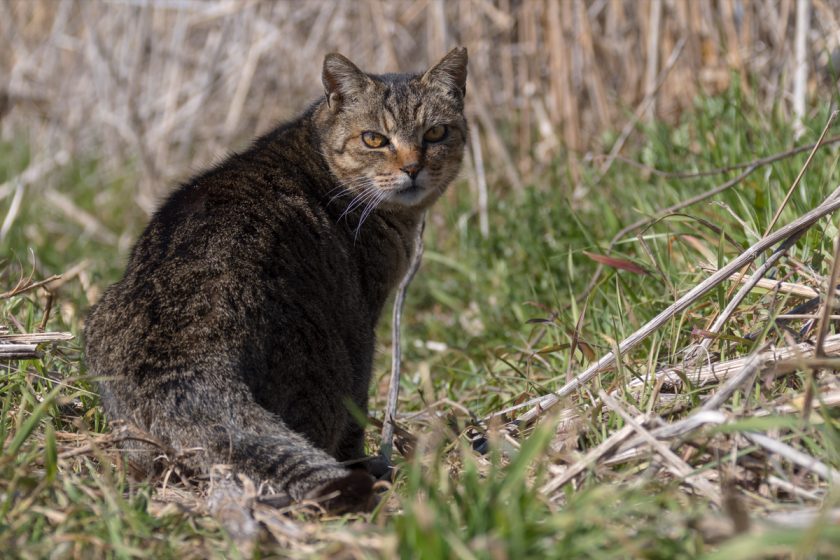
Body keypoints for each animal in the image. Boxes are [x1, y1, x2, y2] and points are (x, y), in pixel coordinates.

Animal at [85, 48, 470, 512]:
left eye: (435, 133)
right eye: (374, 139)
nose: (413, 167)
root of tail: (185, 372)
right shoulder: (365, 319)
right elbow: (357, 417)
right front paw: (369, 466)